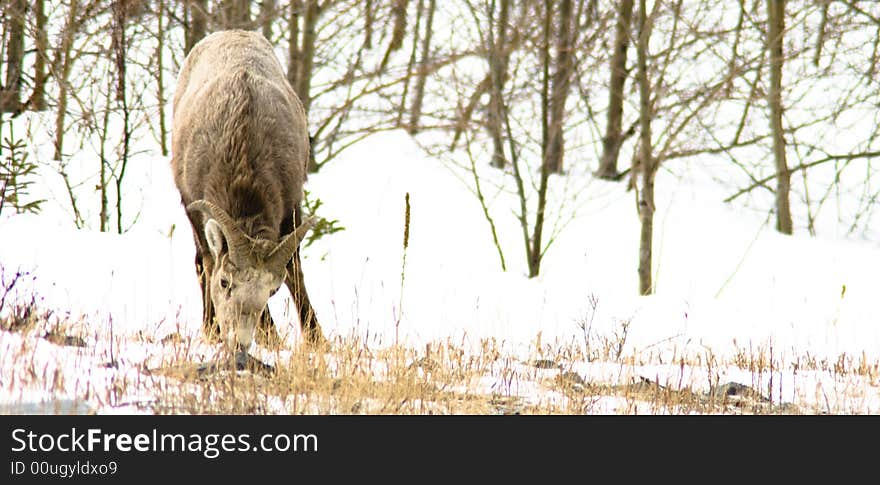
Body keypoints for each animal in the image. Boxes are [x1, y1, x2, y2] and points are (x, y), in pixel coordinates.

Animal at [172, 29, 324, 366]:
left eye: (271, 290)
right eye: (225, 283)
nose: (239, 342)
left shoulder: (291, 208)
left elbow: (295, 273)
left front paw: (318, 341)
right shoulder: (195, 208)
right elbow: (209, 261)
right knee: (200, 261)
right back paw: (210, 327)